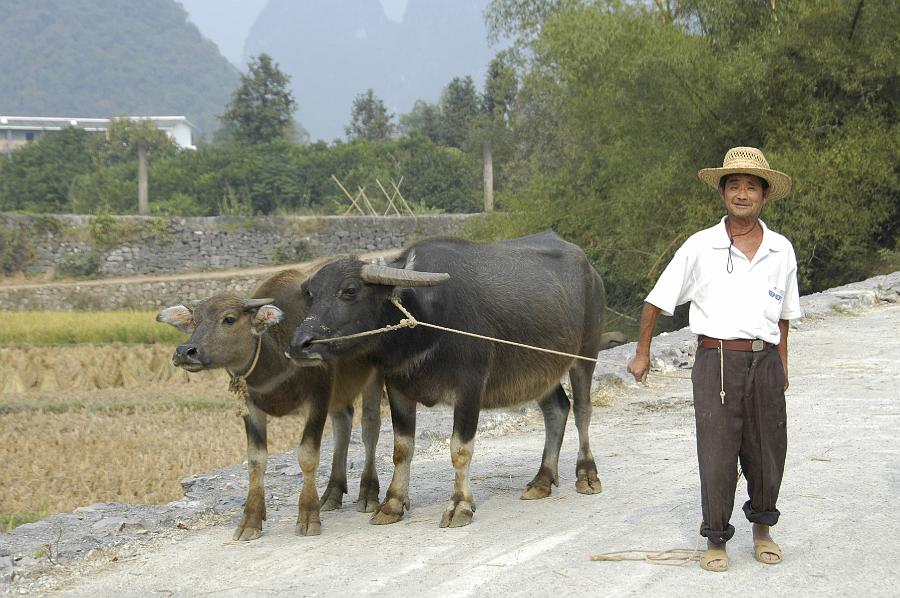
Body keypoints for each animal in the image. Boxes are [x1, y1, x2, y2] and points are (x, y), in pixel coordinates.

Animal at [158, 270, 384, 540]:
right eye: (194, 321)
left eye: (229, 319)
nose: (185, 351)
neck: (277, 357)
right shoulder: (252, 408)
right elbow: (256, 460)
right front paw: (251, 520)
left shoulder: (318, 399)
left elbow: (307, 456)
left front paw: (308, 516)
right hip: (339, 396)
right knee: (343, 423)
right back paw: (332, 493)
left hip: (374, 377)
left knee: (370, 426)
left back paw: (368, 494)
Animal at [292, 233, 608, 528]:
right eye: (311, 294)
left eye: (349, 291)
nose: (300, 344)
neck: (425, 319)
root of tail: (591, 272)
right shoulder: (398, 387)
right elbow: (401, 449)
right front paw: (392, 504)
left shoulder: (470, 388)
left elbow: (460, 449)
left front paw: (460, 506)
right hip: (540, 370)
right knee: (557, 409)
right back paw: (542, 480)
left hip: (586, 352)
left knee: (582, 410)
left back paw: (587, 475)